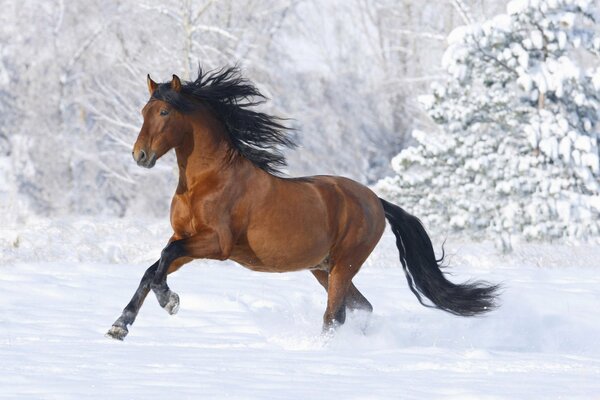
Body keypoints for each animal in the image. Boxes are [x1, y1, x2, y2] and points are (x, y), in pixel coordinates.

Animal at [105, 66, 500, 340]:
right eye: (143, 111)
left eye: (164, 113)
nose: (140, 156)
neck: (207, 181)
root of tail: (374, 199)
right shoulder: (185, 239)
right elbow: (152, 269)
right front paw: (120, 326)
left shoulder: (216, 244)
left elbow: (162, 260)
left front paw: (169, 301)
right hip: (322, 268)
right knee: (361, 307)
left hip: (344, 265)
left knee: (335, 315)